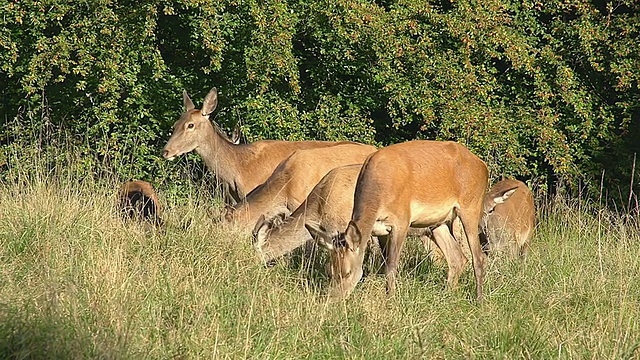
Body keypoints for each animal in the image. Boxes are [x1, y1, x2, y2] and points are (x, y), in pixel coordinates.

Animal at [320, 140, 490, 300]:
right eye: (329, 271)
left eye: (347, 272)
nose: (334, 299)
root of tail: (483, 166)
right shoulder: (380, 230)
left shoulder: (401, 220)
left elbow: (391, 266)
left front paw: (390, 299)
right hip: (438, 222)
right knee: (457, 257)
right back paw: (448, 294)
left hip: (471, 206)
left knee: (478, 256)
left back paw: (479, 299)